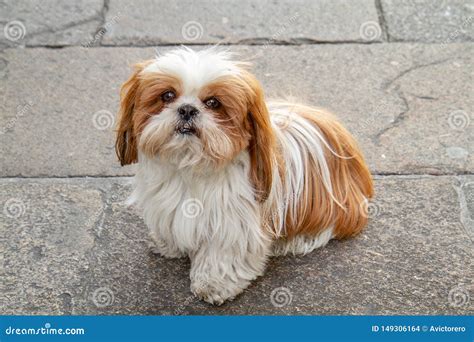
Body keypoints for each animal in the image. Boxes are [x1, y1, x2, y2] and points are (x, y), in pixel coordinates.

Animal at [115, 46, 374, 304]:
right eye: (167, 95)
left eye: (213, 103)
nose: (187, 109)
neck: (192, 166)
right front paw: (168, 244)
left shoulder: (233, 223)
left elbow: (222, 254)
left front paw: (213, 284)